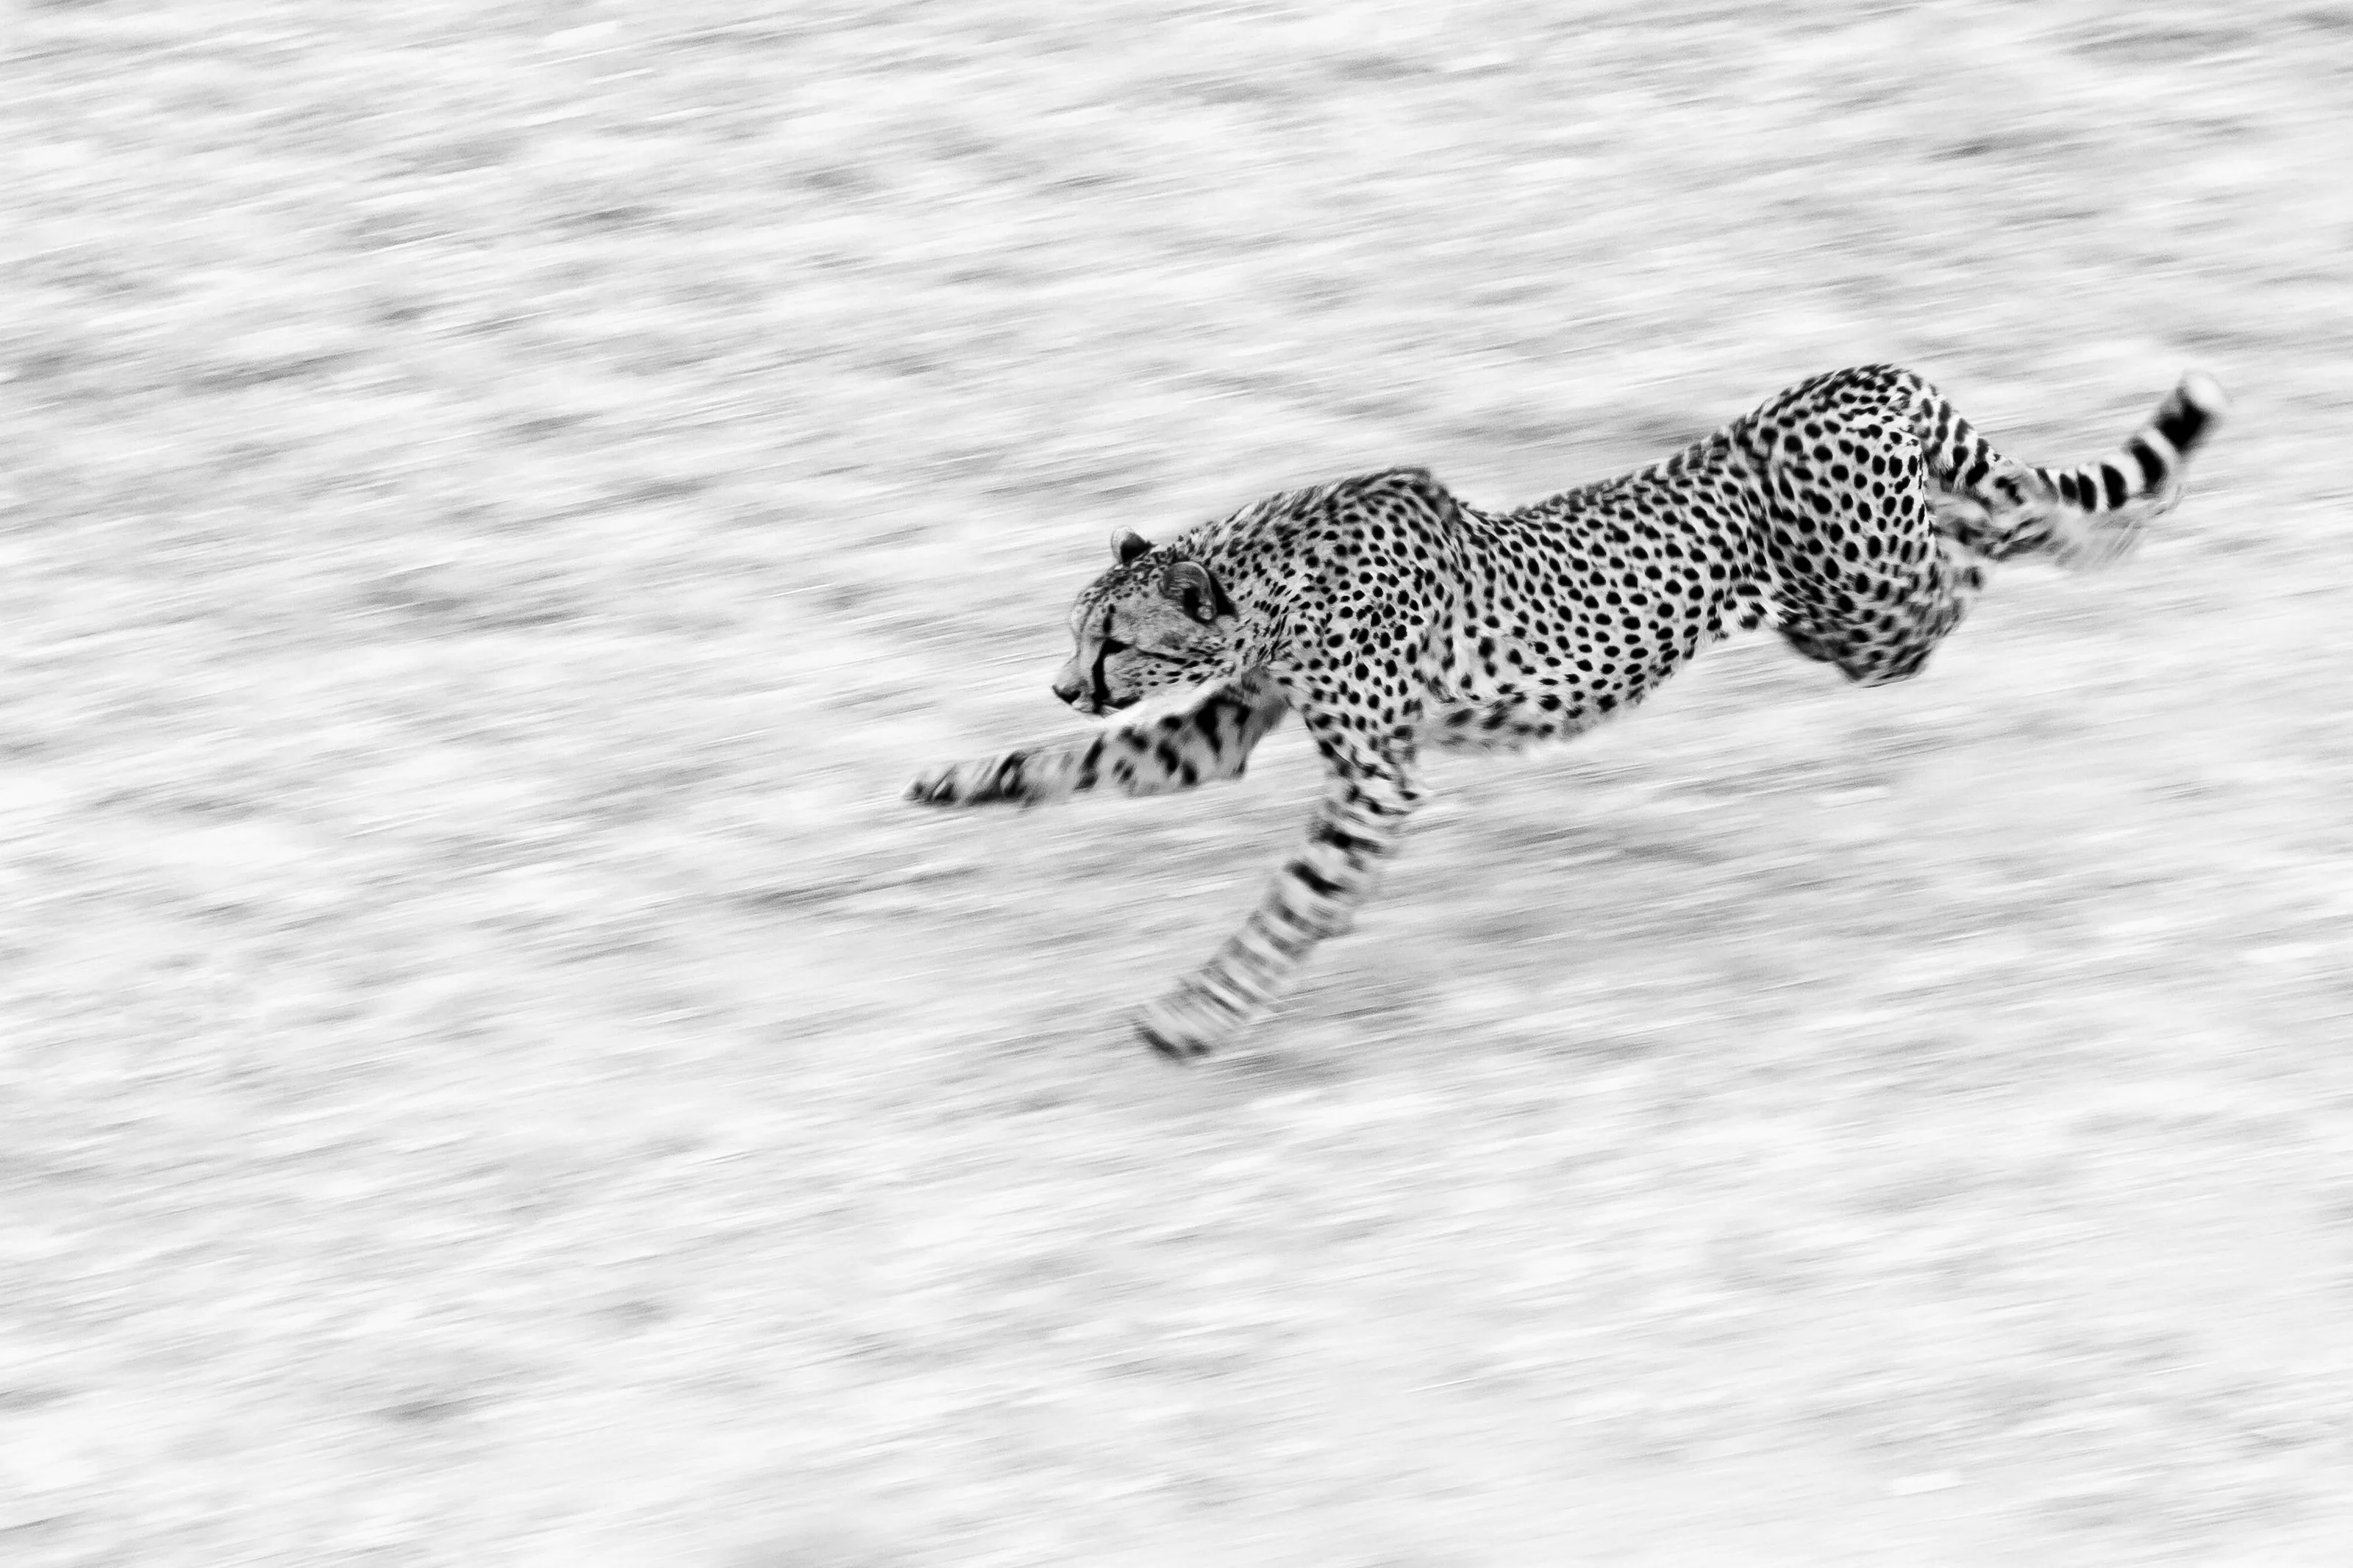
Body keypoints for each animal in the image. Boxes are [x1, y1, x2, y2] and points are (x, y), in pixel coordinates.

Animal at [909, 365, 2228, 1061]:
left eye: (1115, 641)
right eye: (1081, 634)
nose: (1064, 679)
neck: (1268, 575)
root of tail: (1853, 380)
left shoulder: (1377, 778)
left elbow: (1287, 907)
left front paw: (1201, 1010)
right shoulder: (1229, 723)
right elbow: (1089, 762)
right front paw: (960, 780)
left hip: (1867, 612)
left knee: (1997, 534)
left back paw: (2086, 532)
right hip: (1864, 603)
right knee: (1991, 523)